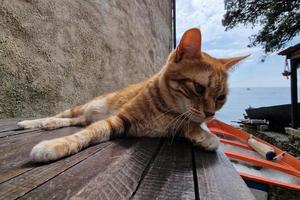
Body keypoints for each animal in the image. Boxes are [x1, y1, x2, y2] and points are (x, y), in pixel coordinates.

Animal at [18, 28, 246, 162]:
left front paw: (204, 136)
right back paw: (31, 122)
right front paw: (56, 145)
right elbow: (85, 134)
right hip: (81, 107)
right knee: (63, 116)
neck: (166, 112)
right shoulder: (119, 120)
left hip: (85, 115)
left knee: (76, 121)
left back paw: (50, 125)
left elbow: (193, 126)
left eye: (220, 98)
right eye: (199, 88)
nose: (210, 114)